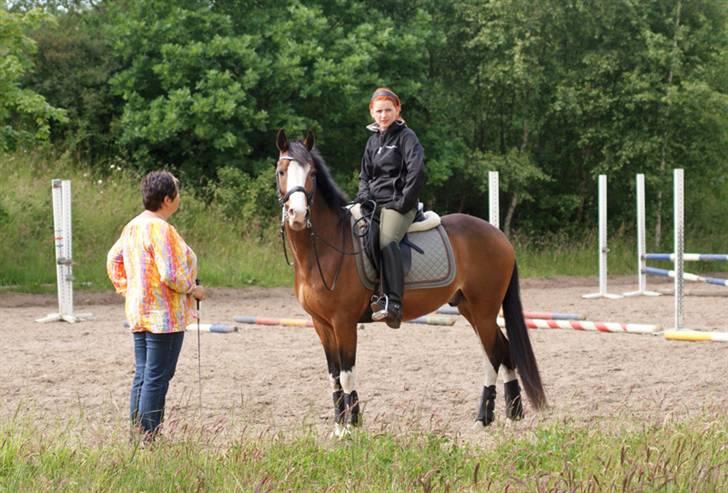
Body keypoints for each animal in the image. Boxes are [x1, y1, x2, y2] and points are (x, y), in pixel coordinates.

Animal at [276, 129, 544, 432]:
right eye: (281, 171)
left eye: (312, 174)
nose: (298, 215)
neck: (326, 247)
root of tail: (499, 236)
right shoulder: (321, 324)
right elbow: (333, 376)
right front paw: (339, 427)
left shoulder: (343, 322)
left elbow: (346, 374)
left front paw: (352, 427)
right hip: (471, 309)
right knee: (500, 351)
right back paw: (506, 414)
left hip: (484, 310)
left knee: (495, 354)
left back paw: (489, 416)